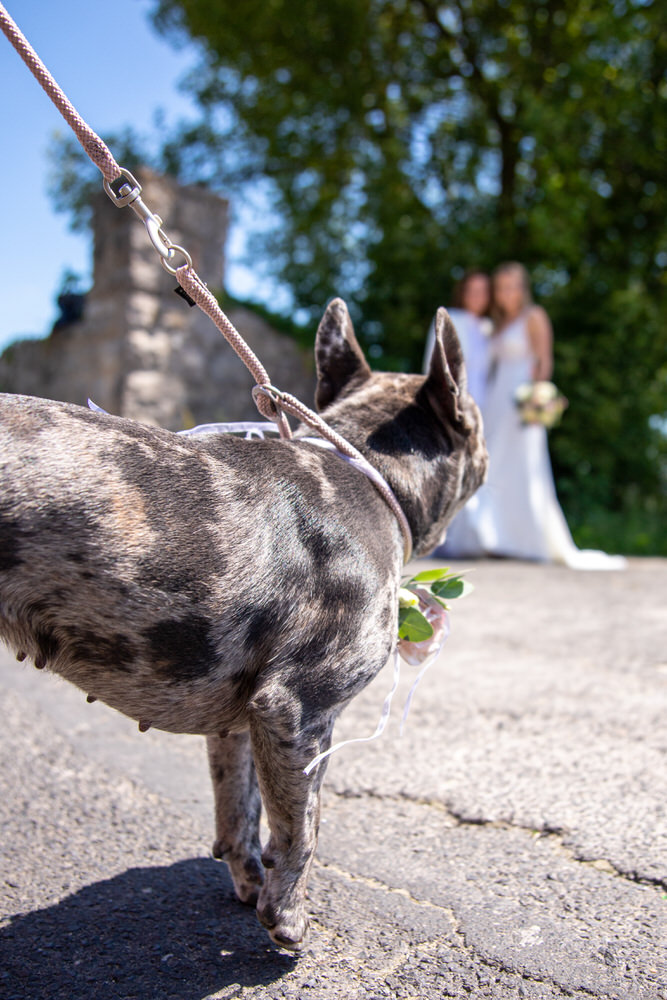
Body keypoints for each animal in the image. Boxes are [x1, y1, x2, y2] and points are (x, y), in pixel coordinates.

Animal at [1, 296, 490, 944]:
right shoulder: (299, 710)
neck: (364, 469)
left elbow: (241, 810)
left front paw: (252, 882)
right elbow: (303, 826)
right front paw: (287, 917)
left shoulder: (240, 727)